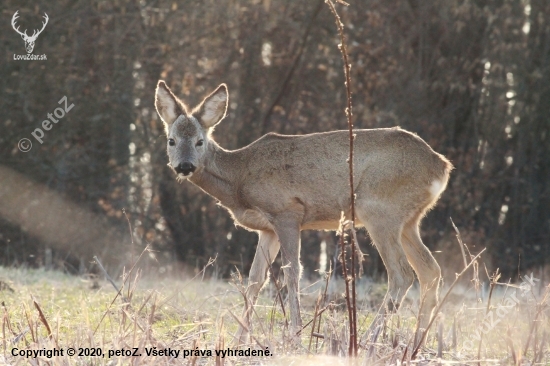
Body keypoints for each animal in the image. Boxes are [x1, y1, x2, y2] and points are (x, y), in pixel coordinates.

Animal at [154, 81, 452, 346]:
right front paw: (240, 340)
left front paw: (295, 334)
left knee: (402, 273)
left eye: (199, 141)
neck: (239, 178)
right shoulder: (267, 229)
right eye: (171, 140)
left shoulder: (287, 211)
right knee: (430, 271)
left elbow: (292, 272)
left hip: (380, 210)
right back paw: (417, 342)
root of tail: (441, 166)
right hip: (409, 221)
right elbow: (255, 279)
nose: (184, 166)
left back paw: (368, 340)